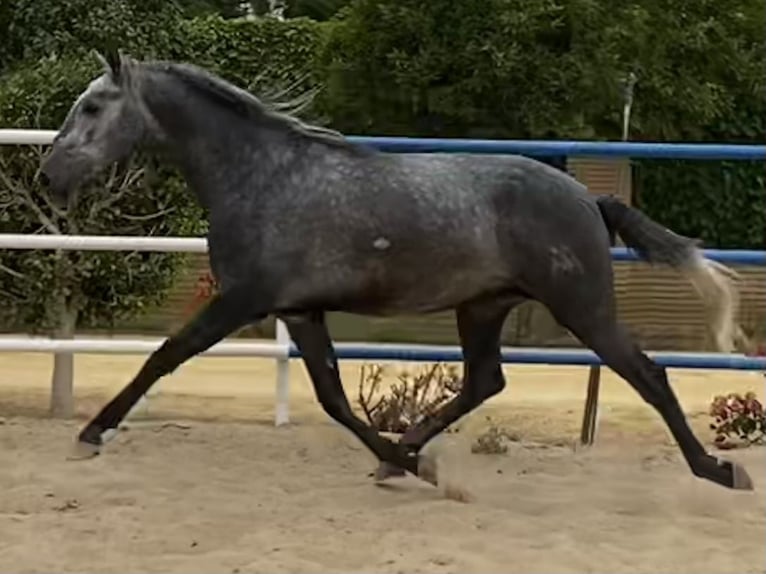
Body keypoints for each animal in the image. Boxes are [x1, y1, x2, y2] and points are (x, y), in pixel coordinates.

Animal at [39, 50, 752, 490]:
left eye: (93, 107)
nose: (48, 176)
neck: (265, 176)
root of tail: (587, 198)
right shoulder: (299, 310)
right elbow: (331, 397)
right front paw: (406, 466)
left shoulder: (243, 300)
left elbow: (164, 356)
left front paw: (90, 433)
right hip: (484, 305)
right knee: (486, 380)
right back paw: (405, 456)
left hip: (582, 306)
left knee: (649, 375)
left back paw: (719, 471)